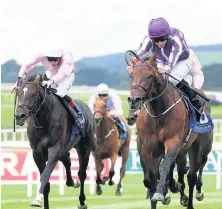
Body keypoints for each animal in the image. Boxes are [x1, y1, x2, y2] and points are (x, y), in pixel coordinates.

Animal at [14, 74, 96, 209]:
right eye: (19, 92)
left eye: (33, 94)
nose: (19, 116)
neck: (44, 122)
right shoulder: (37, 153)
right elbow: (46, 183)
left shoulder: (55, 149)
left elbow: (45, 175)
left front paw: (37, 199)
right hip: (65, 149)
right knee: (67, 160)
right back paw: (70, 181)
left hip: (84, 148)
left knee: (82, 174)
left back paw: (82, 201)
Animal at [125, 53, 212, 208]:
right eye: (131, 75)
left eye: (150, 76)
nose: (134, 100)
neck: (158, 112)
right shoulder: (147, 148)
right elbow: (151, 178)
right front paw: (161, 193)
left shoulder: (173, 141)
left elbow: (165, 167)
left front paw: (161, 193)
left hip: (198, 147)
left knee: (192, 175)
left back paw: (193, 195)